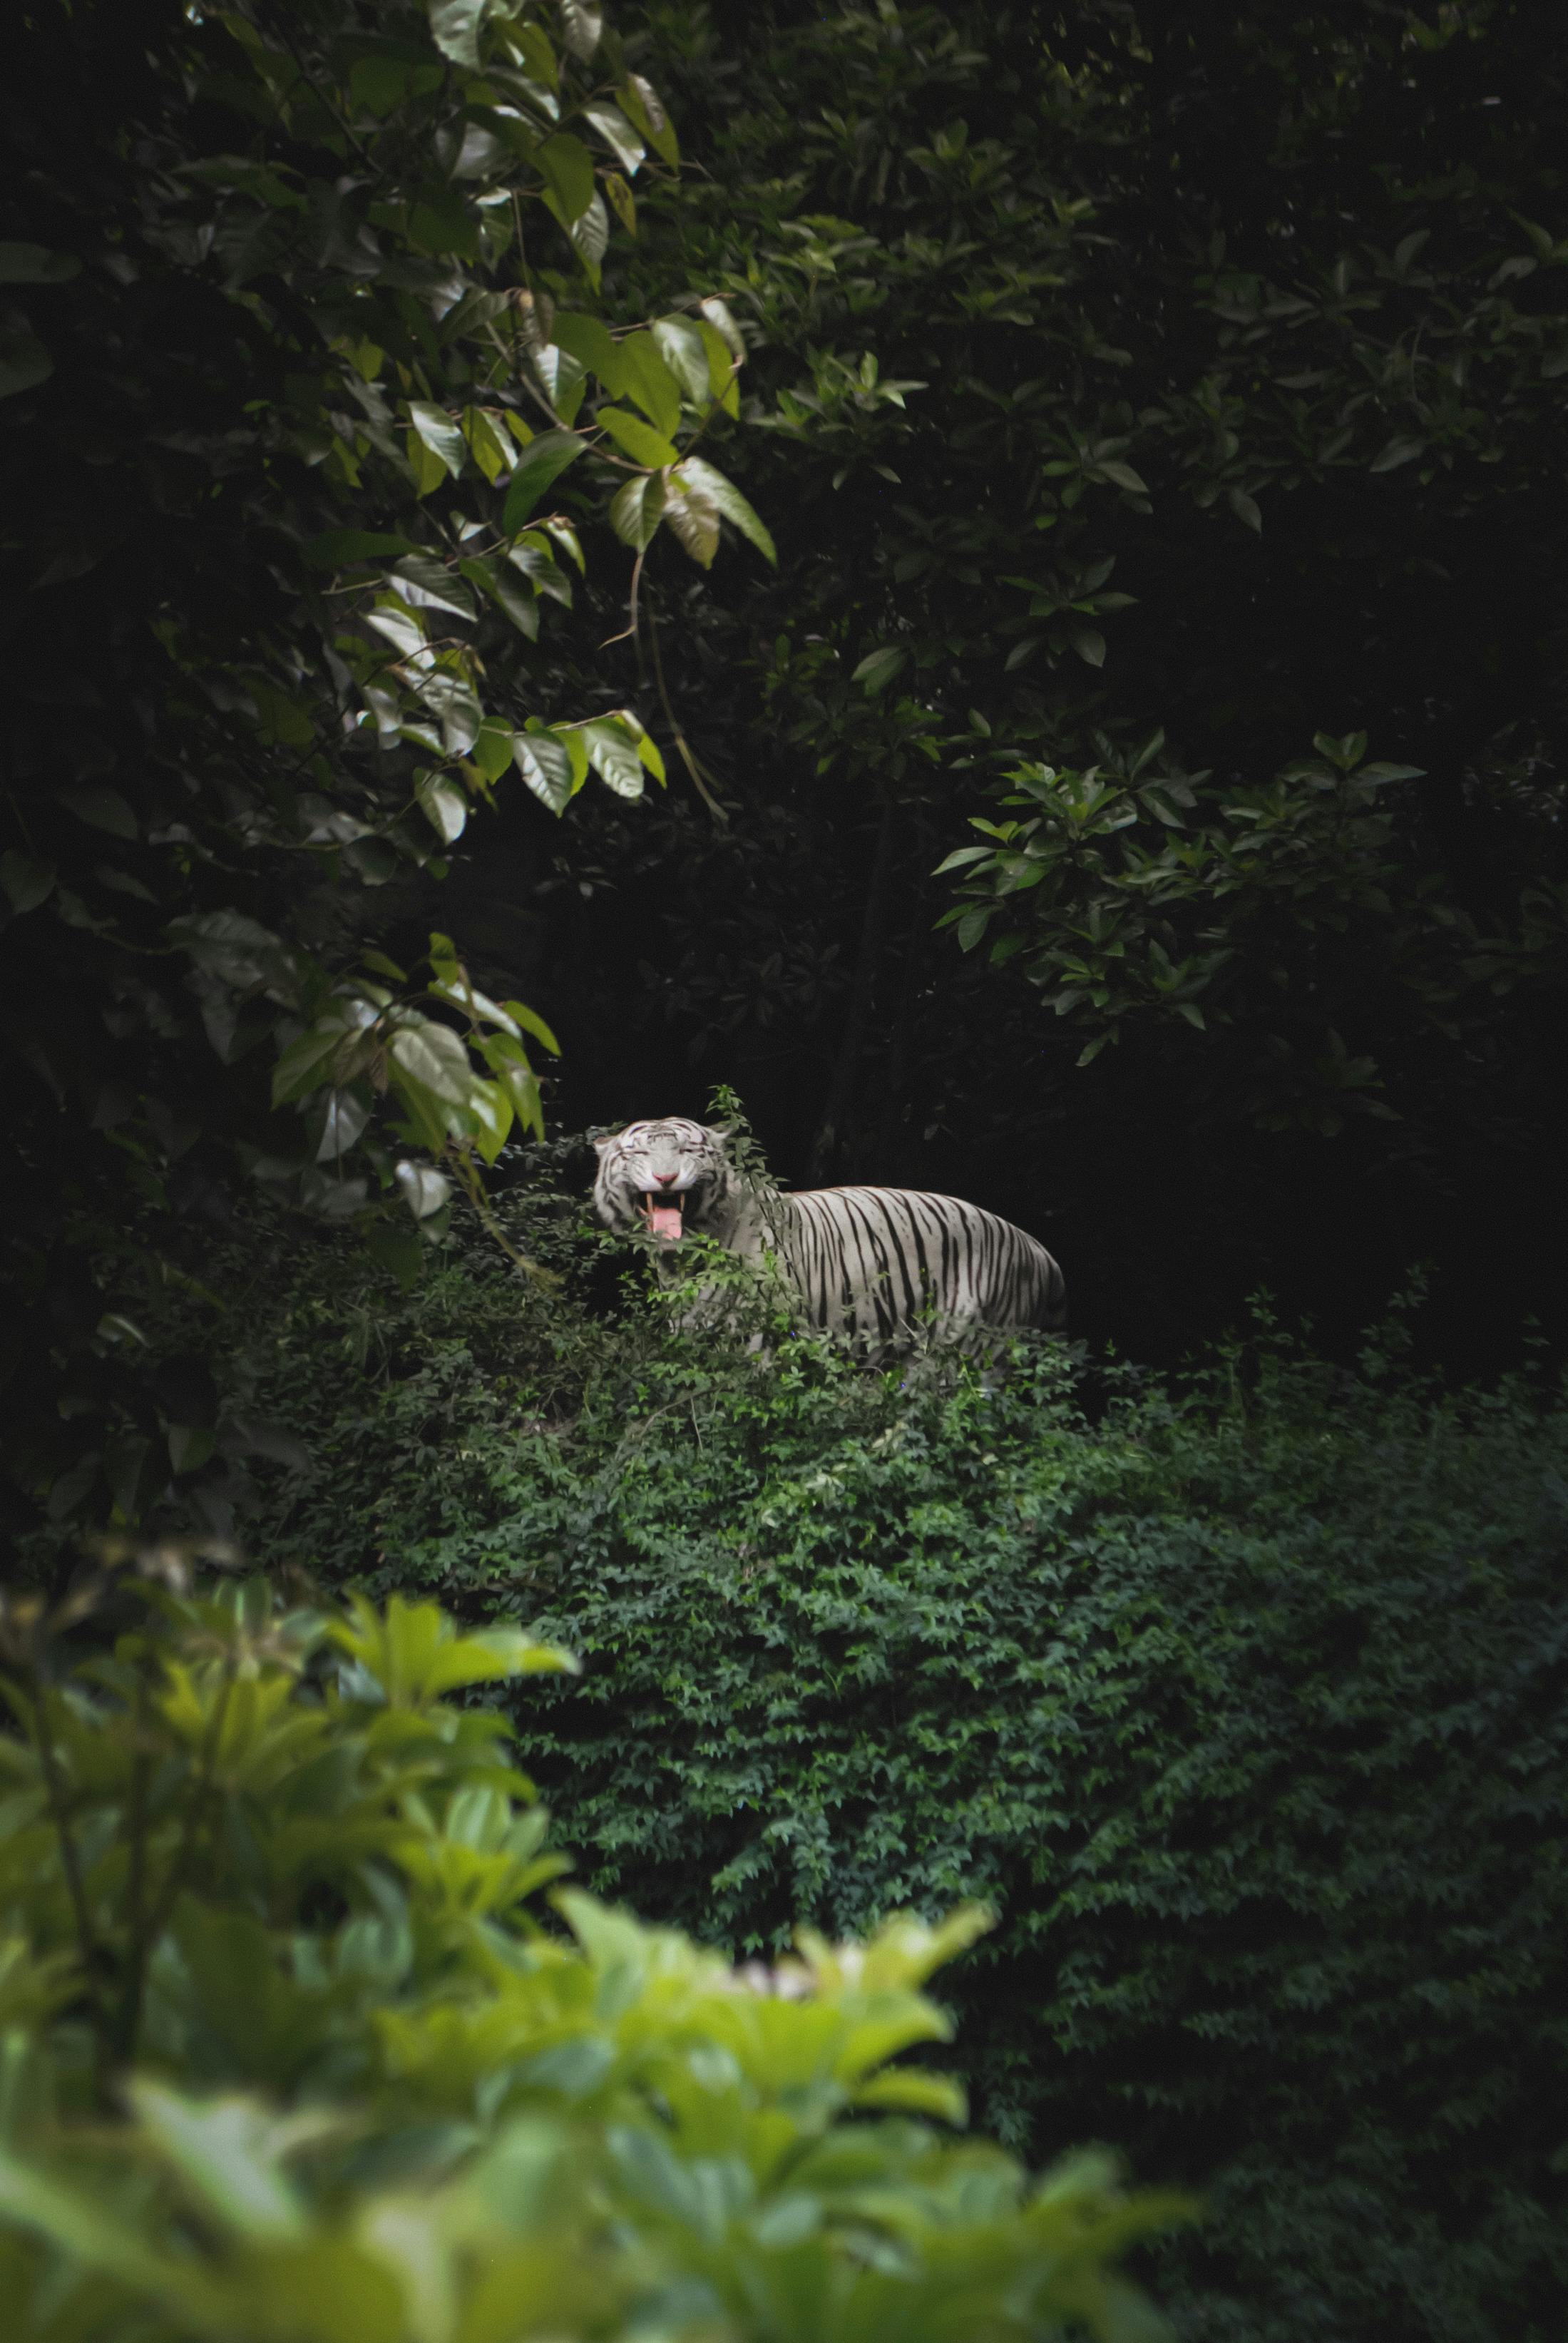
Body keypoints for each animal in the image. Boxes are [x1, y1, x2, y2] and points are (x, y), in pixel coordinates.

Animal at [591, 1117, 1066, 1350]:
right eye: (639, 1152)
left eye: (687, 1150)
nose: (666, 1177)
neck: (682, 1260)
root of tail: (1040, 1250)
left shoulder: (760, 1331)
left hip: (979, 1342)